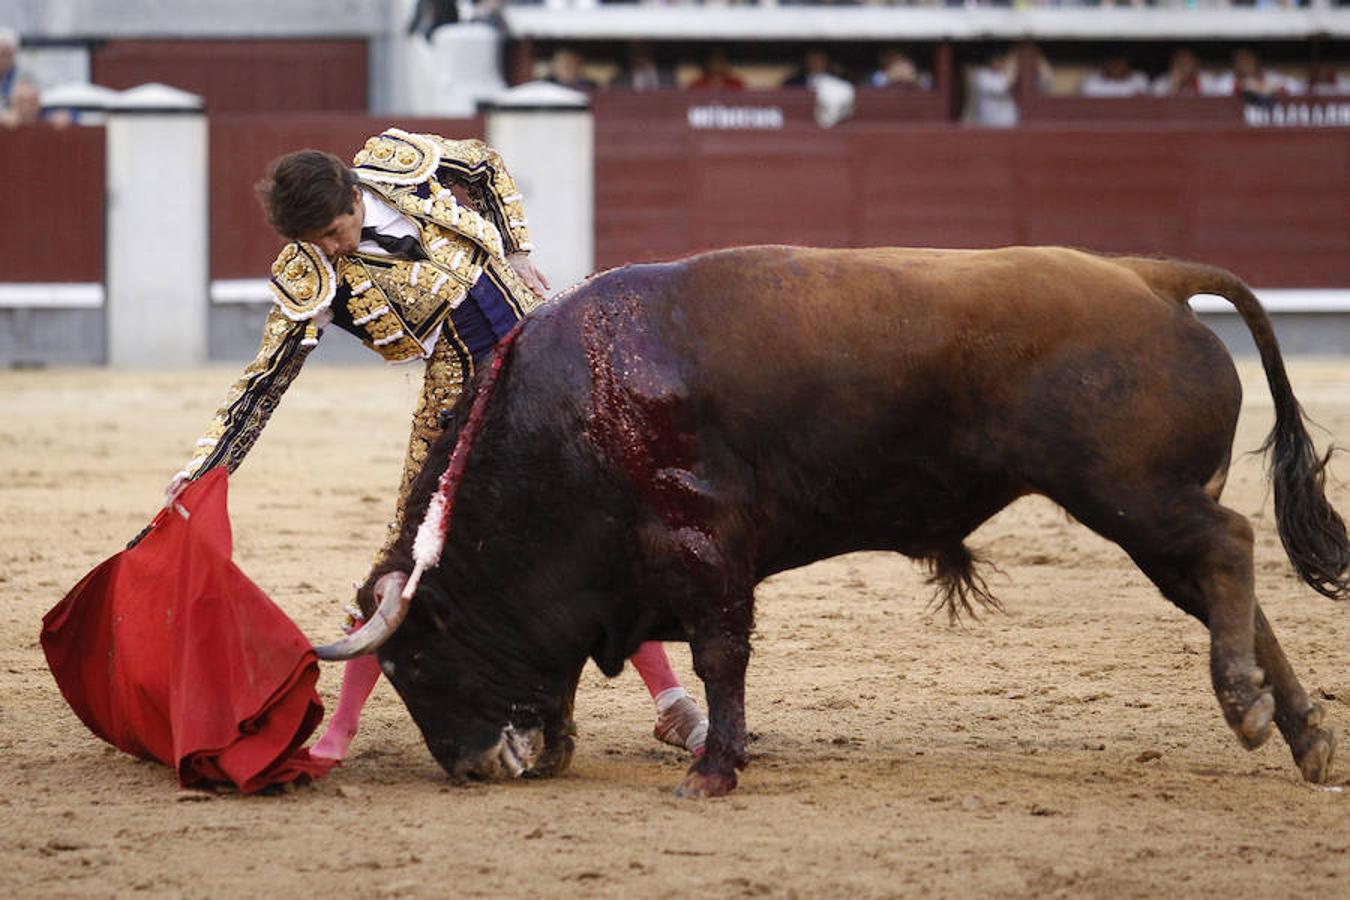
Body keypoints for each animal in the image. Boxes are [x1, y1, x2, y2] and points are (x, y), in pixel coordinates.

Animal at [318, 244, 1350, 793]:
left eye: (412, 663)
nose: (474, 769)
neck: (580, 410)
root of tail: (1149, 275)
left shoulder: (703, 546)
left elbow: (721, 655)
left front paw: (715, 769)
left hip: (1131, 492)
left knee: (1231, 549)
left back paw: (1246, 706)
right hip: (1151, 502)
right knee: (1221, 583)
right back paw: (1301, 736)